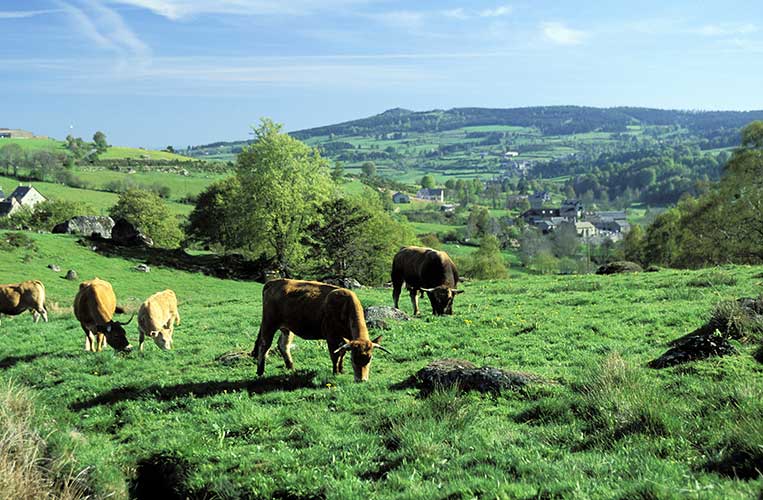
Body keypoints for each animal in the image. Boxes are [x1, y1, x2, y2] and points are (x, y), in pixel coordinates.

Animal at [254, 278, 390, 382]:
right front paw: (335, 371)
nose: (362, 380)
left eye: (369, 358)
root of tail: (273, 282)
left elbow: (342, 353)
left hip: (287, 327)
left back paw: (290, 367)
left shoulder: (344, 340)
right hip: (269, 323)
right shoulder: (331, 337)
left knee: (283, 344)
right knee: (264, 345)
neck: (344, 307)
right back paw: (260, 371)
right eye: (353, 359)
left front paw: (341, 369)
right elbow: (335, 355)